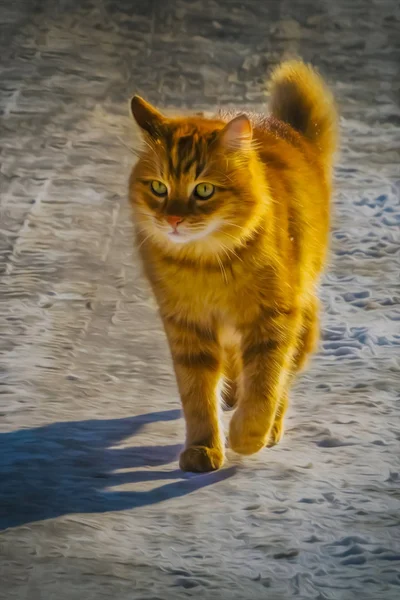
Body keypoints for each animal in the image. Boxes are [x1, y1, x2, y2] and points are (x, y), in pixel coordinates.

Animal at [128, 61, 338, 474]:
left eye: (204, 190)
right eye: (159, 188)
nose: (173, 219)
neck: (205, 266)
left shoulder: (272, 318)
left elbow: (264, 387)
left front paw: (248, 436)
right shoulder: (187, 325)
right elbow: (197, 396)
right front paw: (204, 447)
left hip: (300, 317)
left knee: (281, 383)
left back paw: (269, 427)